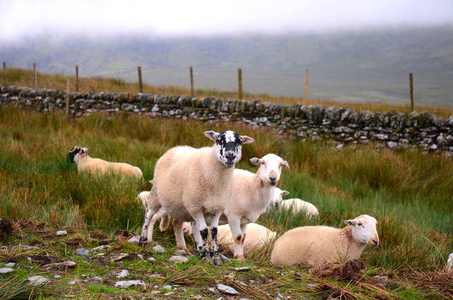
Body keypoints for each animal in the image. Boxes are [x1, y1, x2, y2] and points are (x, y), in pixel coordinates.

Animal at [139, 130, 254, 262]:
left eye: (240, 142)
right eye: (218, 140)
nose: (230, 156)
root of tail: (175, 147)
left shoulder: (217, 208)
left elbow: (214, 232)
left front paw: (214, 257)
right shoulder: (195, 207)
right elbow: (203, 231)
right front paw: (206, 256)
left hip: (180, 206)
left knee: (177, 224)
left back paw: (185, 248)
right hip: (156, 194)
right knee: (148, 214)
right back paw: (143, 240)